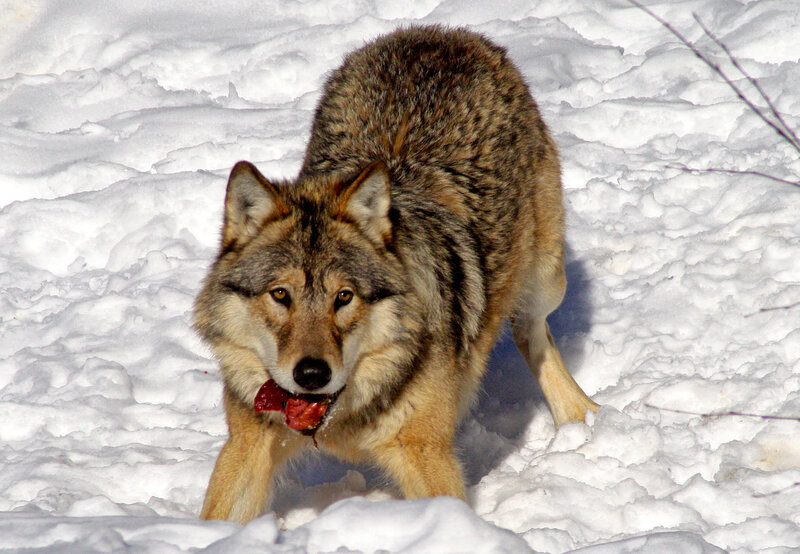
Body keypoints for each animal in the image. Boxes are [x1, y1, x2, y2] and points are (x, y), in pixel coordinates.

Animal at [194, 25, 598, 523]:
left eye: (344, 297)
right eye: (281, 295)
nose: (311, 374)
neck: (340, 418)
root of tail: (439, 33)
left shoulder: (425, 453)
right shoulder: (248, 442)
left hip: (545, 281)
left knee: (532, 331)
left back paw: (580, 416)